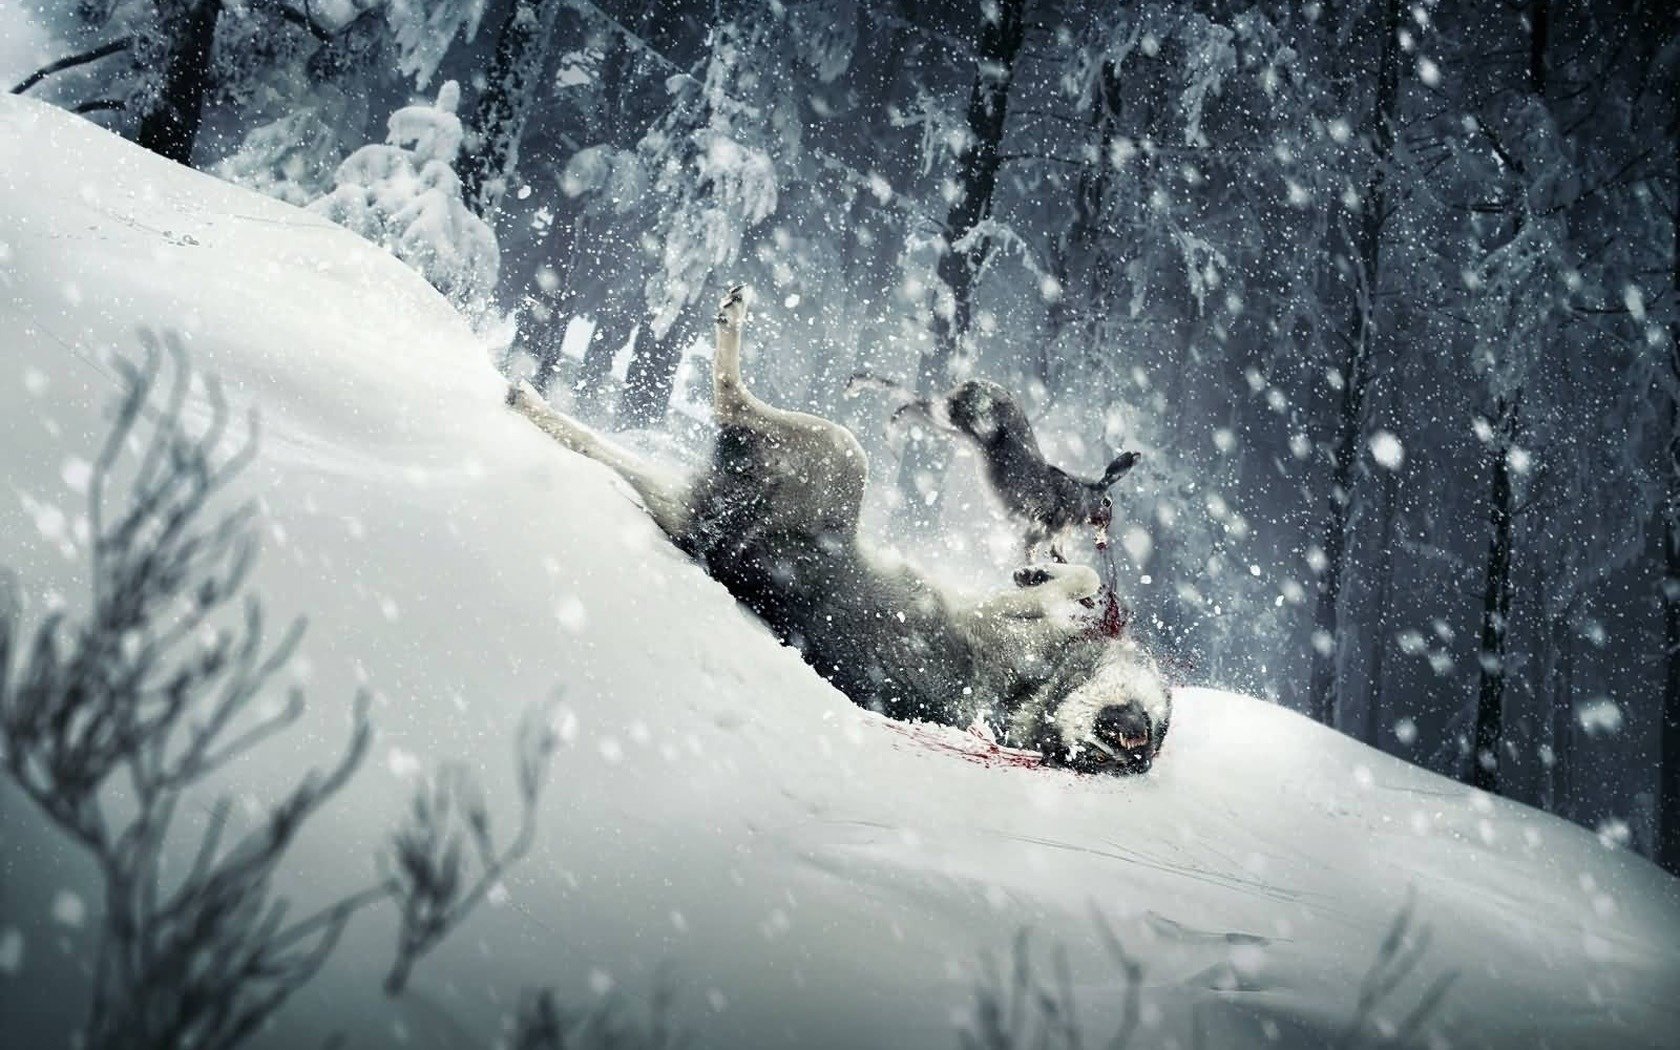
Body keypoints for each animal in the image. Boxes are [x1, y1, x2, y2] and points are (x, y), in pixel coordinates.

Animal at [508, 287, 1170, 773]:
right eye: (1132, 741)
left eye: (1113, 753)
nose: (1126, 736)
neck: (1047, 688)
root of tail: (715, 546)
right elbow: (1078, 575)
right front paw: (1047, 576)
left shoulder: (988, 614)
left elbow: (1070, 579)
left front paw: (1053, 581)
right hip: (832, 454)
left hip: (840, 453)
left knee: (723, 402)